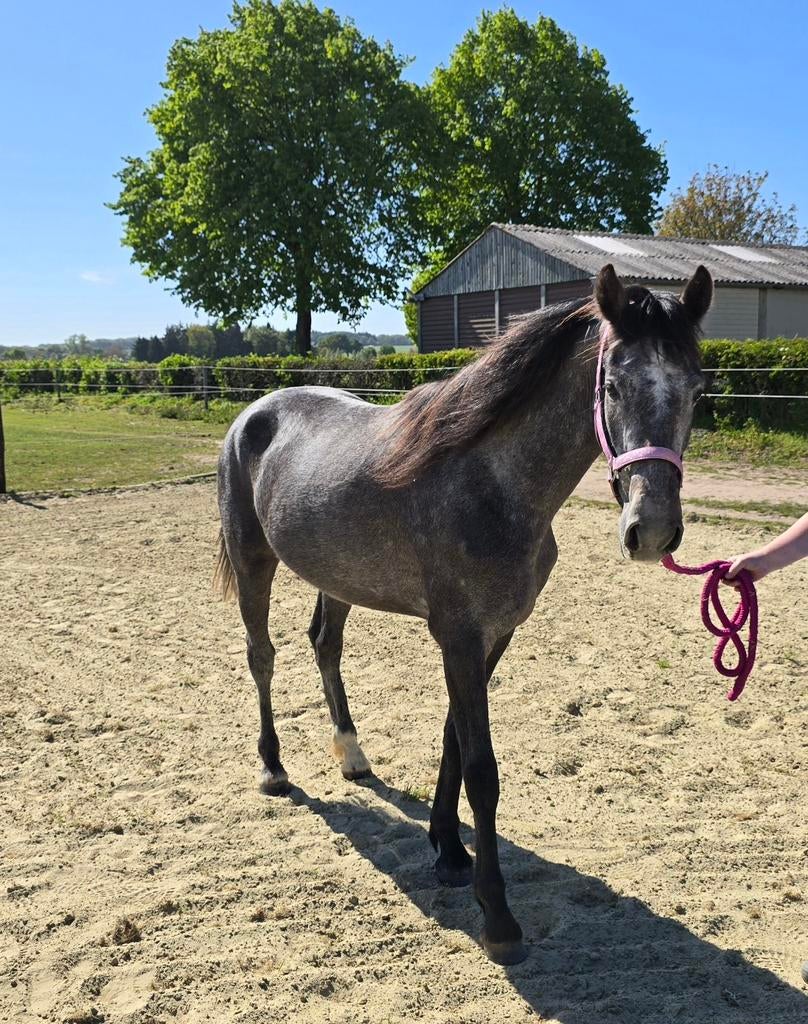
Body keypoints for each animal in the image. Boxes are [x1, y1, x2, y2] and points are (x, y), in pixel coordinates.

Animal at [215, 263, 713, 965]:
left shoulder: (492, 635)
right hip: (253, 560)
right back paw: (273, 768)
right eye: (613, 385)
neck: (494, 483)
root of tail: (254, 413)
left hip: (336, 576)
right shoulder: (458, 634)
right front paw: (497, 914)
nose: (654, 531)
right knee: (262, 656)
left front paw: (447, 848)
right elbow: (482, 769)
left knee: (324, 644)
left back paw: (351, 755)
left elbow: (454, 738)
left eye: (696, 389)